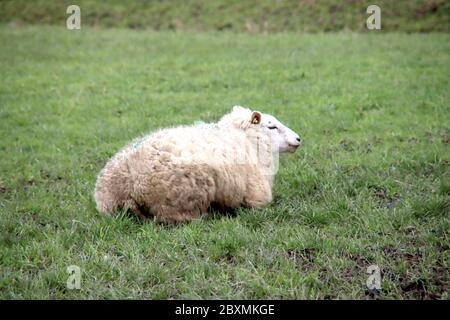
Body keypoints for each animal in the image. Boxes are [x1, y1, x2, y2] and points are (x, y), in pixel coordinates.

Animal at [93, 106, 300, 224]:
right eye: (272, 126)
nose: (298, 138)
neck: (246, 140)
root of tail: (126, 187)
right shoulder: (256, 195)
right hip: (183, 198)